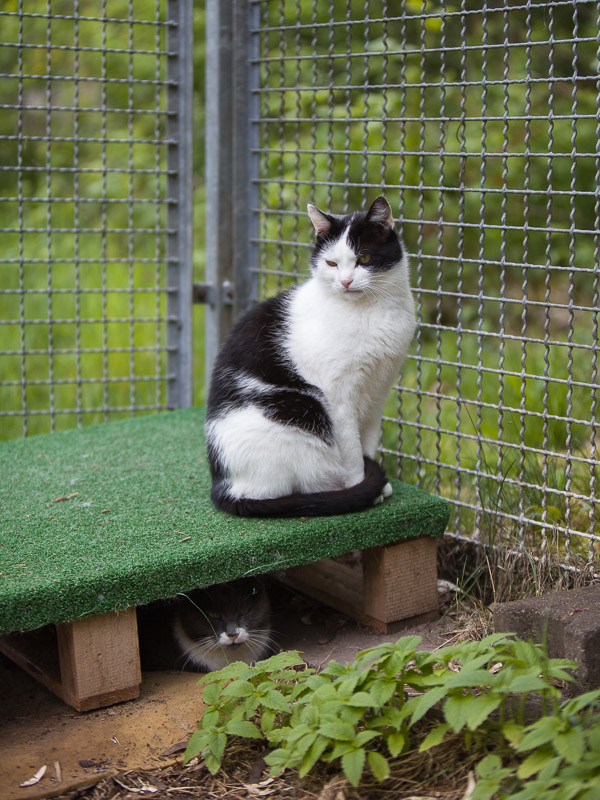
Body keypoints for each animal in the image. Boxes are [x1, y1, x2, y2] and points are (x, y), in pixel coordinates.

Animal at [204, 197, 414, 516]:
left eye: (364, 259)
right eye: (331, 263)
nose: (346, 282)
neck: (369, 310)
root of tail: (225, 485)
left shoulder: (377, 394)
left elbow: (367, 443)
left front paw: (377, 486)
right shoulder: (339, 399)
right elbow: (353, 453)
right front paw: (362, 485)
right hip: (302, 411)